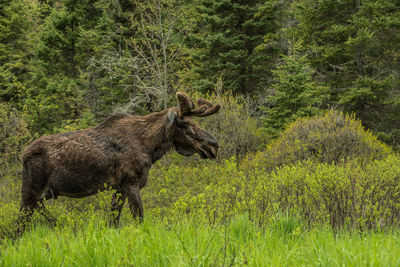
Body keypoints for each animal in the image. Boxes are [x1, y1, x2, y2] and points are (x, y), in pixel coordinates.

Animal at [18, 92, 220, 230]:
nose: (214, 145)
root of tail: (23, 155)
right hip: (30, 189)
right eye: (185, 124)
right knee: (19, 224)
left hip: (47, 192)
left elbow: (113, 221)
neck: (150, 147)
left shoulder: (118, 188)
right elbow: (139, 219)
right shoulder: (131, 183)